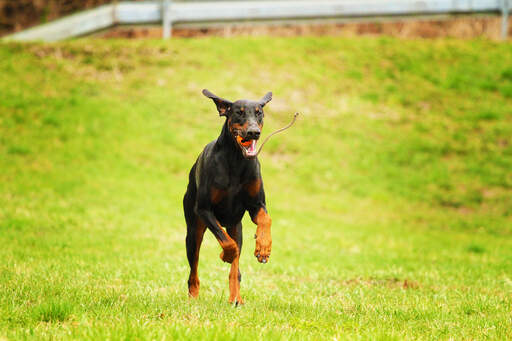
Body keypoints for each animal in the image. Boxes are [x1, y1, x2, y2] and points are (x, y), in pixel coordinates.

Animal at [183, 89, 274, 304]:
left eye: (259, 113)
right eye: (239, 113)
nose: (253, 132)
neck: (236, 160)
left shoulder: (256, 205)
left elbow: (265, 219)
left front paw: (263, 246)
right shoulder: (204, 209)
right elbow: (228, 244)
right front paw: (225, 255)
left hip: (236, 226)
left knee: (236, 269)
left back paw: (236, 298)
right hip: (193, 231)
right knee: (194, 270)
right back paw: (193, 297)